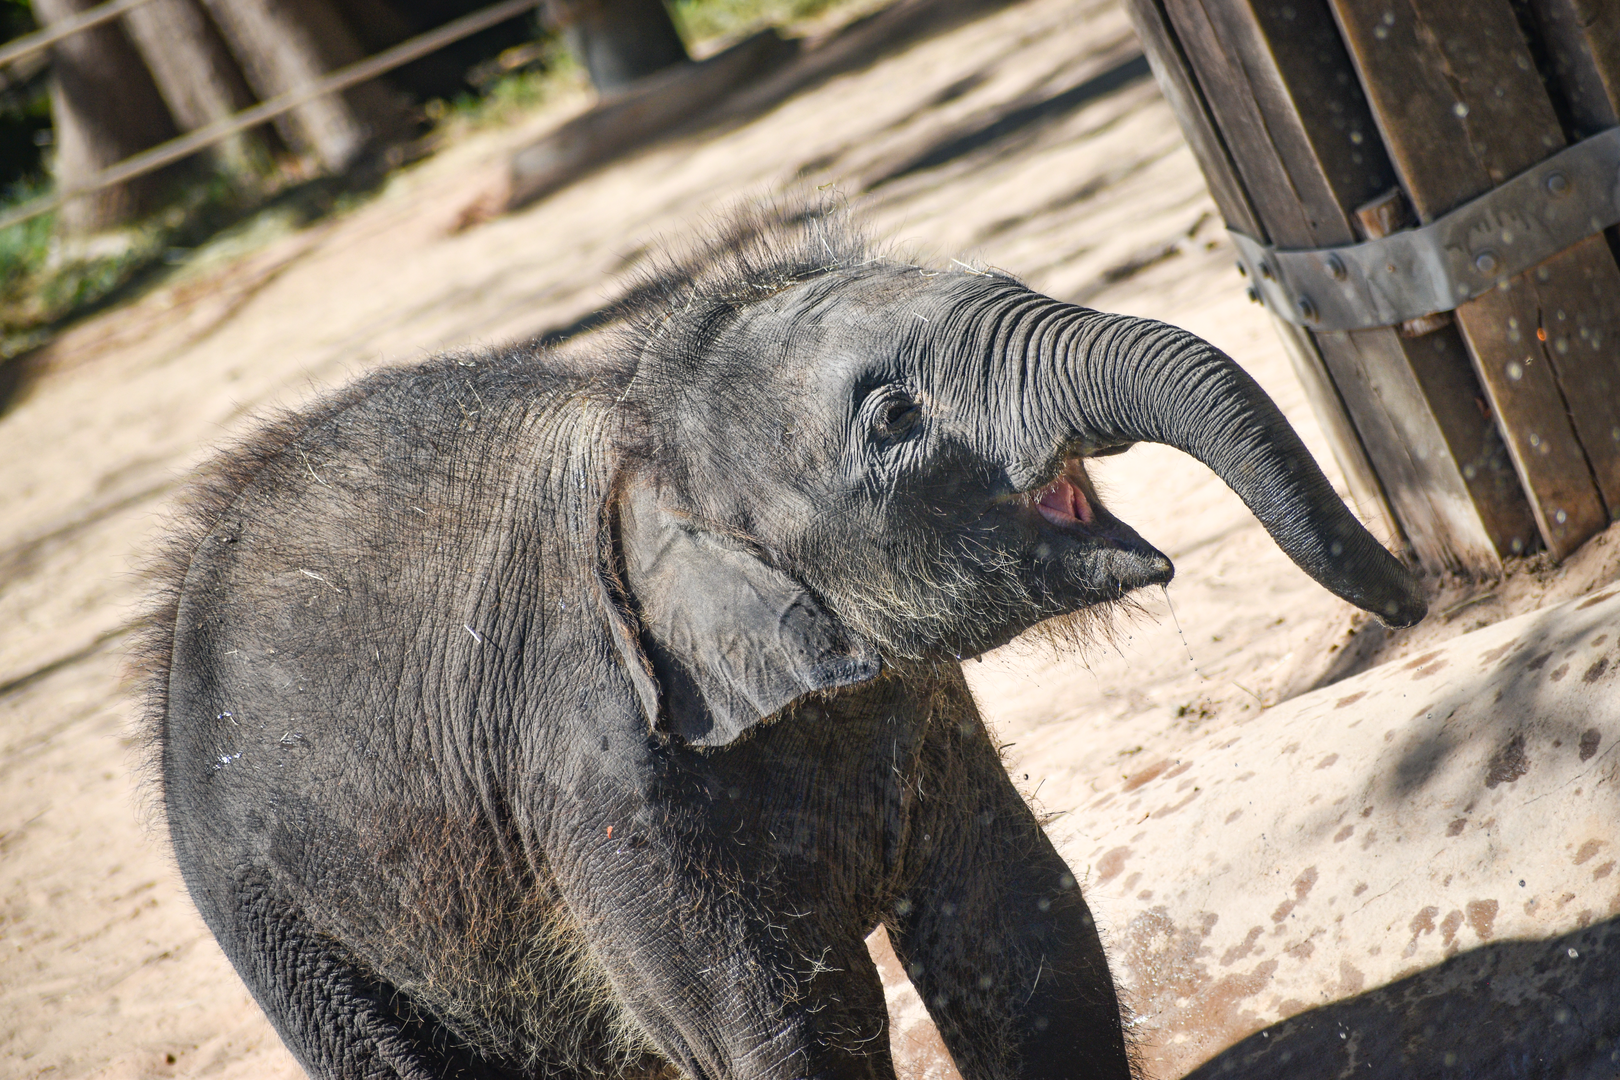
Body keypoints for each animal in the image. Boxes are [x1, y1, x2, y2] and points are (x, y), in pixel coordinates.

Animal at [138, 206, 1424, 1080]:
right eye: (895, 414)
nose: (1410, 596)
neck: (642, 438)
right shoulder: (600, 777)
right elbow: (787, 1028)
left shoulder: (918, 706)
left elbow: (1017, 925)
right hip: (282, 927)